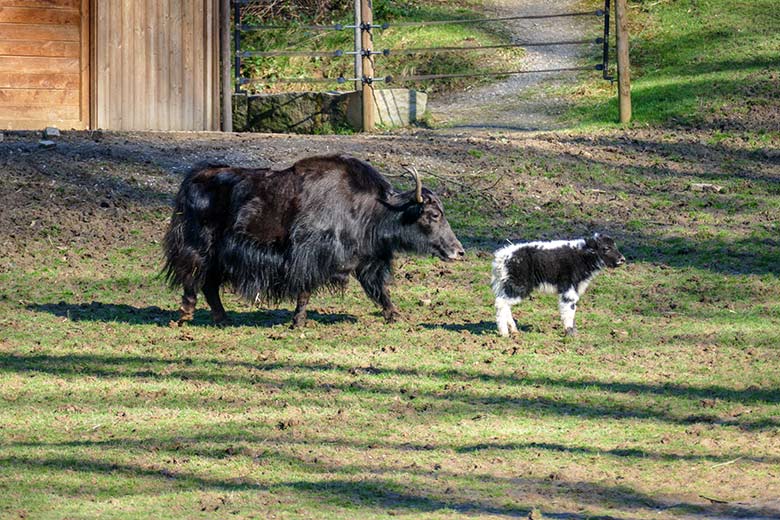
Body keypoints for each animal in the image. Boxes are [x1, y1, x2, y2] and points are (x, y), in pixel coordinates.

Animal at [490, 235, 624, 338]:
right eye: (606, 248)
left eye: (615, 246)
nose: (622, 259)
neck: (583, 256)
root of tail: (502, 256)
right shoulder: (568, 289)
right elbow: (569, 309)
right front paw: (570, 333)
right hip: (519, 285)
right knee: (501, 303)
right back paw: (504, 333)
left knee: (505, 304)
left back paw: (514, 330)